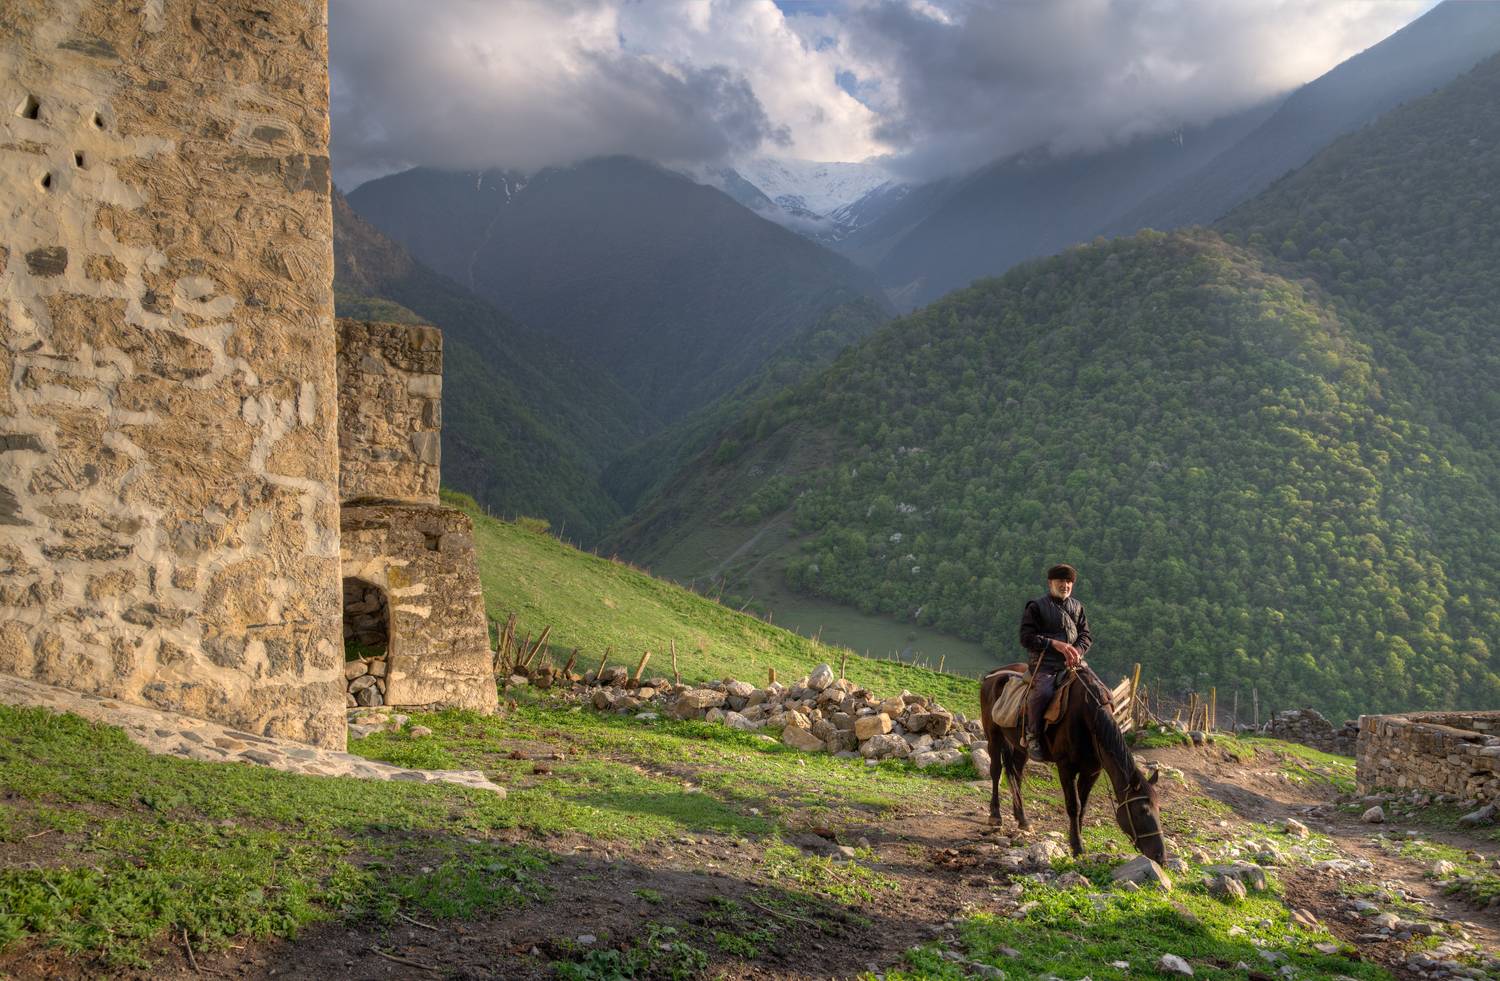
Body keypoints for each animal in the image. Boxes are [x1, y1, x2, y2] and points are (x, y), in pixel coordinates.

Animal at [979, 662, 1166, 864]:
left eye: (1158, 809)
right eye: (1142, 810)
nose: (1160, 857)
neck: (1089, 719)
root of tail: (993, 675)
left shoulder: (1092, 772)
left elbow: (1083, 807)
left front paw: (1077, 838)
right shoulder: (1066, 768)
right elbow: (1073, 806)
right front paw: (1077, 846)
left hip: (1021, 746)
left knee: (1016, 773)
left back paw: (1022, 819)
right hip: (993, 735)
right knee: (996, 771)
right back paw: (995, 816)